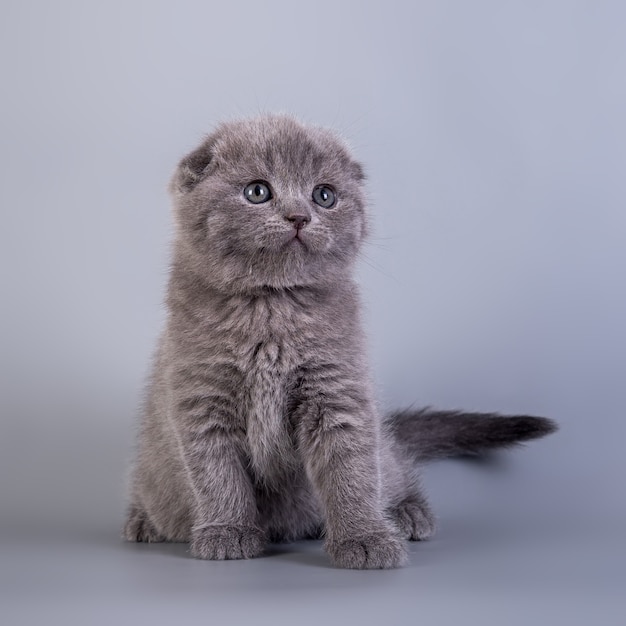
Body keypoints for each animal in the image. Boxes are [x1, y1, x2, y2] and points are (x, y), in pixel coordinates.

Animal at [123, 112, 556, 564]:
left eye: (324, 195)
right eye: (257, 191)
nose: (299, 216)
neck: (272, 310)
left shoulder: (338, 390)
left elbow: (352, 469)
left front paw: (364, 538)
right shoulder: (202, 400)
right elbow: (217, 474)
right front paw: (229, 532)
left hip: (384, 448)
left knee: (393, 464)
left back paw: (409, 512)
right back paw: (143, 522)